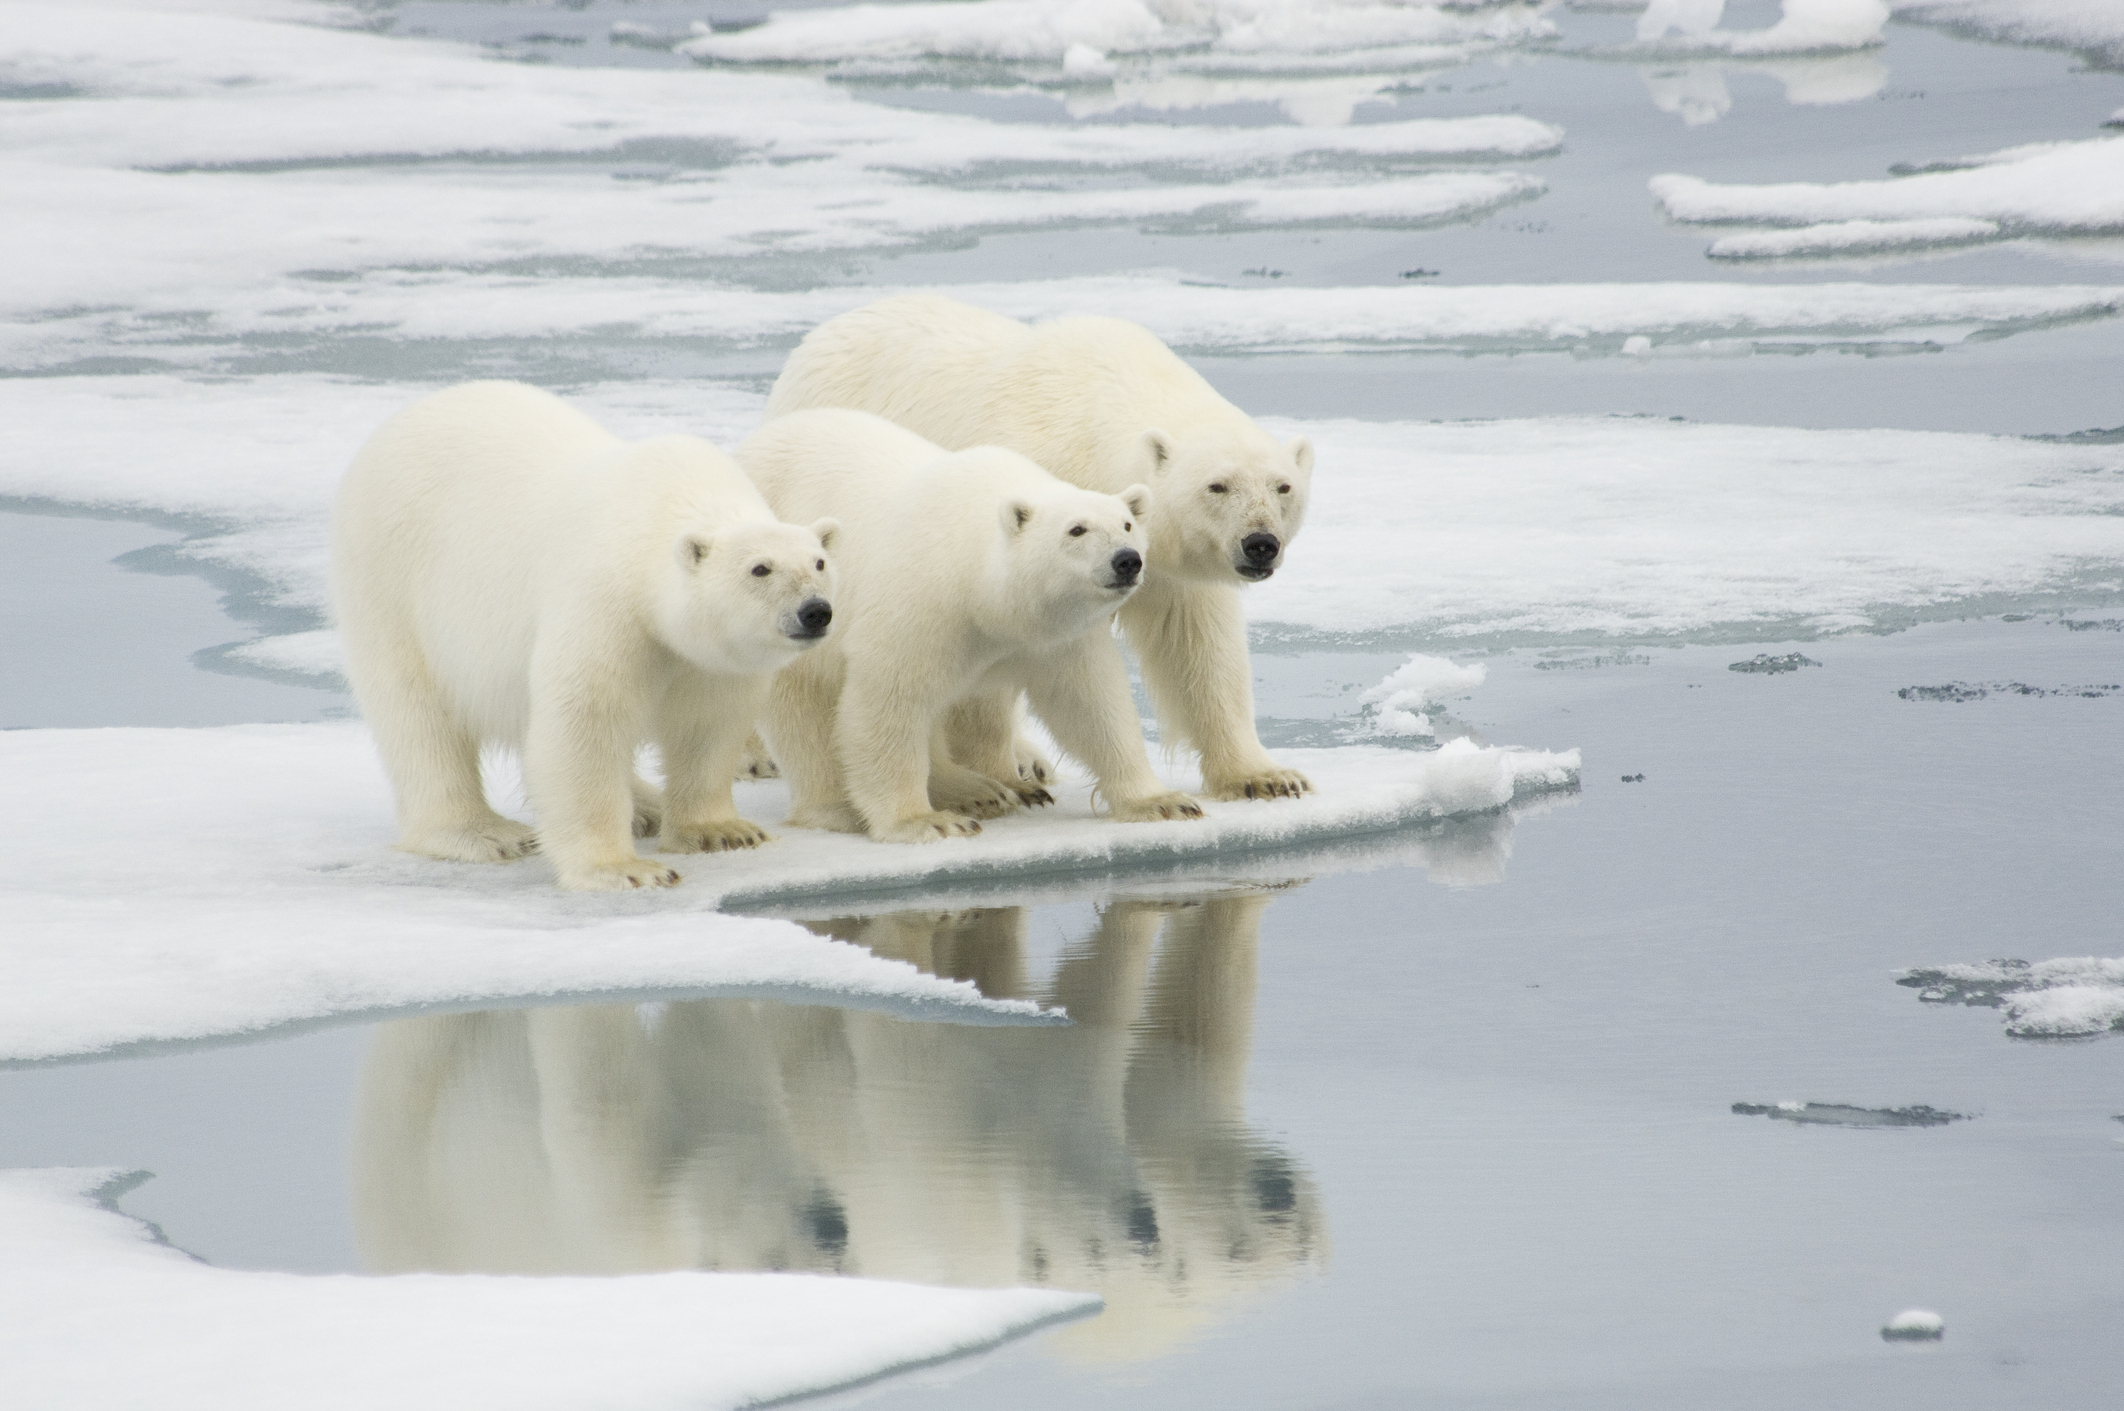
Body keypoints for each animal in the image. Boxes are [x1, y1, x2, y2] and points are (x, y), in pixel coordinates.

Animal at [331, 382, 836, 892]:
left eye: (819, 562)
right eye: (760, 568)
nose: (815, 612)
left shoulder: (712, 659)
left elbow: (709, 722)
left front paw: (724, 832)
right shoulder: (605, 602)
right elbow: (585, 721)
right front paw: (625, 869)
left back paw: (646, 806)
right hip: (390, 580)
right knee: (418, 717)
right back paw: (485, 833)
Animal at [734, 405, 1206, 837]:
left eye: (1126, 524)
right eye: (1076, 530)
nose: (1127, 560)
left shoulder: (1055, 635)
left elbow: (1090, 702)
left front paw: (1163, 801)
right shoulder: (922, 606)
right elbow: (889, 703)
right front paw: (922, 821)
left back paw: (992, 787)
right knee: (802, 706)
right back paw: (839, 806)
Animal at [764, 295, 1316, 803]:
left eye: (1282, 487)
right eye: (1217, 486)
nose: (1260, 544)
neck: (1089, 421)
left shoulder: (1163, 564)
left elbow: (1196, 644)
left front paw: (1264, 776)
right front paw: (1001, 774)